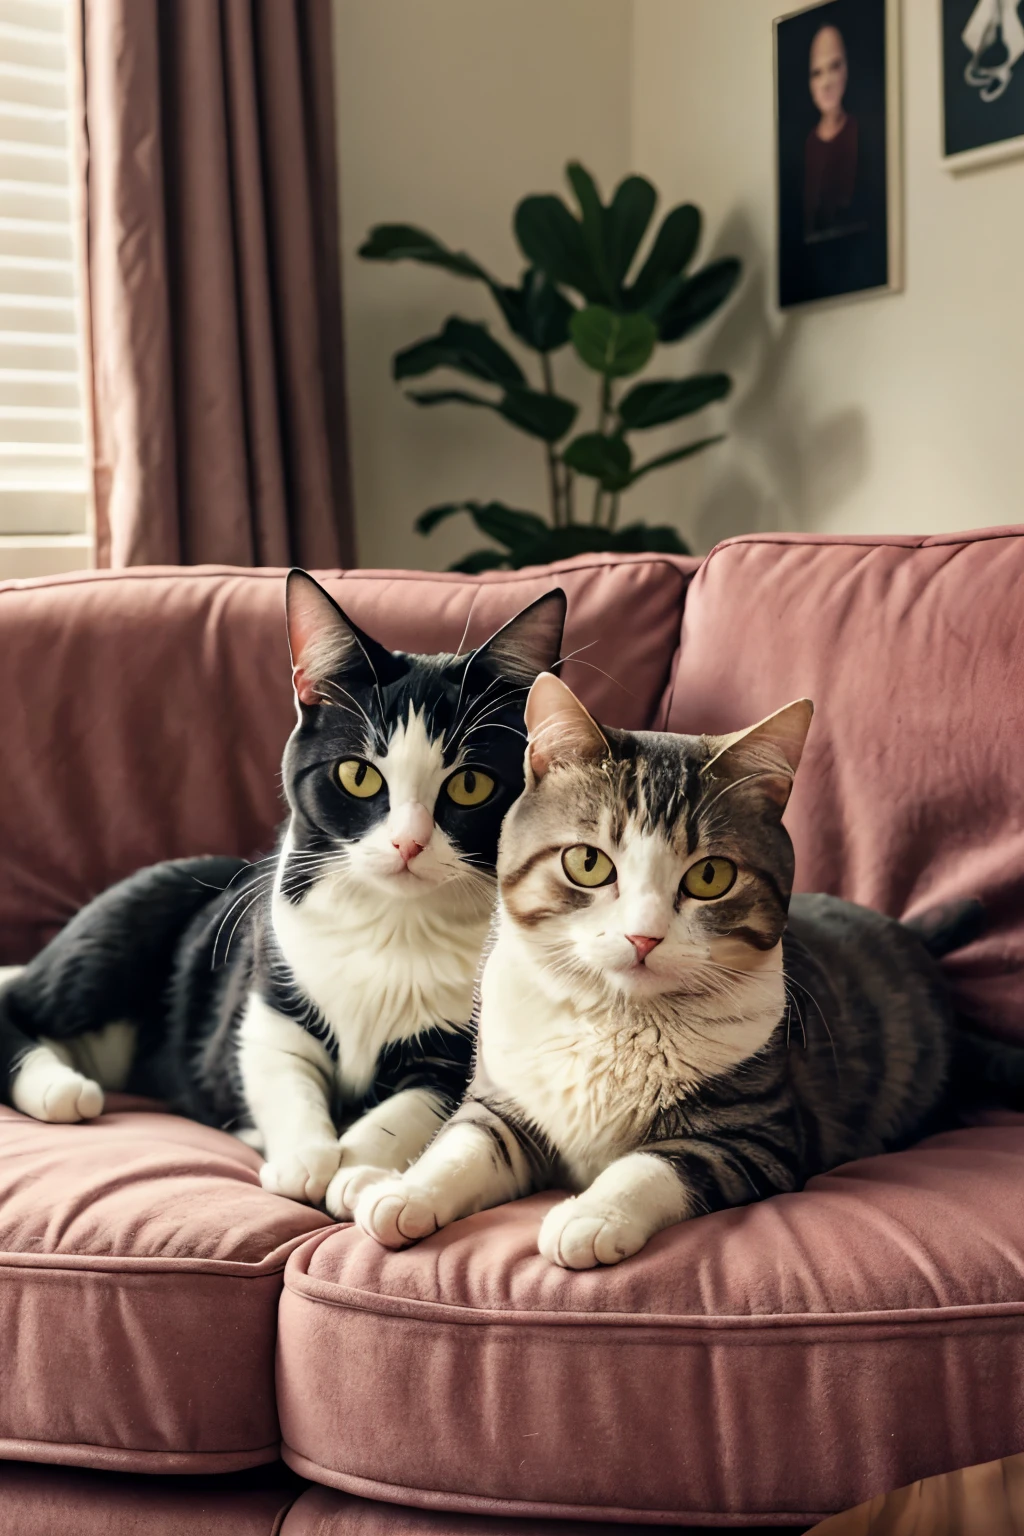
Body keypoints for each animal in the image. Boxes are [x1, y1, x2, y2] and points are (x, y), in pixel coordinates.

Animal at [0, 571, 564, 1216]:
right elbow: (280, 1066)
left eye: (471, 785)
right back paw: (57, 1086)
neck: (396, 922)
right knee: (21, 1001)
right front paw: (304, 1161)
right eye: (358, 775)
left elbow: (411, 1109)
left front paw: (357, 1169)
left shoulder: (457, 1050)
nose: (407, 844)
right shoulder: (272, 980)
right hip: (123, 930)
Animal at [354, 678, 1000, 1265]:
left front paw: (591, 1214)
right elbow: (463, 1144)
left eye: (711, 876)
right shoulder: (506, 1102)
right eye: (587, 862)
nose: (644, 936)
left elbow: (656, 1164)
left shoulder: (753, 1137)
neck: (616, 1022)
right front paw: (405, 1192)